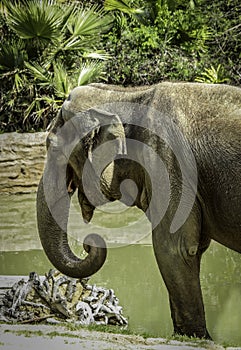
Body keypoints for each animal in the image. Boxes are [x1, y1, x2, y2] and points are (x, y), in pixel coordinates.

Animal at [36, 82, 241, 340]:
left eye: (52, 148)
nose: (88, 244)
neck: (131, 94)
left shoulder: (168, 162)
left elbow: (174, 248)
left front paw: (196, 337)